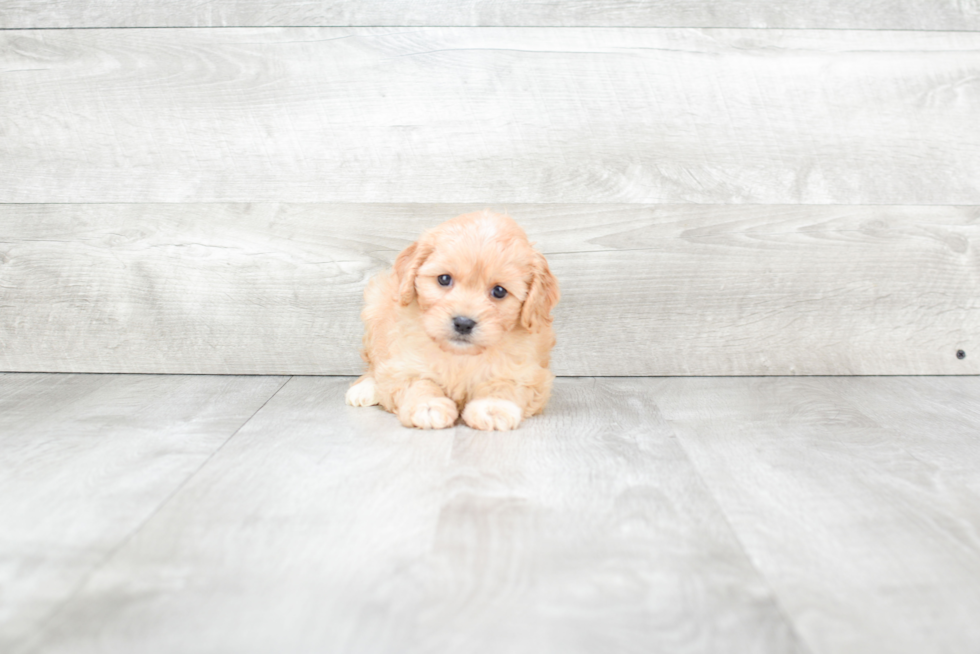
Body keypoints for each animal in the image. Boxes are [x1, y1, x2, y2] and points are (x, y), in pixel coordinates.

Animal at [344, 213, 560, 434]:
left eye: (499, 291)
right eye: (444, 279)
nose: (463, 323)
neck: (460, 356)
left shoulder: (527, 374)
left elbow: (504, 385)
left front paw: (493, 407)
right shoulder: (402, 364)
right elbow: (418, 383)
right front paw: (428, 405)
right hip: (376, 307)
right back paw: (366, 388)